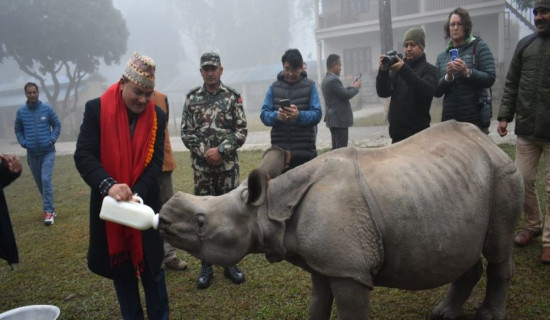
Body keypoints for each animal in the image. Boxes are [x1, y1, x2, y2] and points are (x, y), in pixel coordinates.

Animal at [161, 120, 528, 320]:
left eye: (201, 222)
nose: (162, 216)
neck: (268, 209)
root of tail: (485, 140)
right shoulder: (325, 263)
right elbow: (318, 304)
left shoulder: (350, 271)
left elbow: (350, 310)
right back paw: (443, 313)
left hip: (503, 174)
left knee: (498, 249)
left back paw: (488, 315)